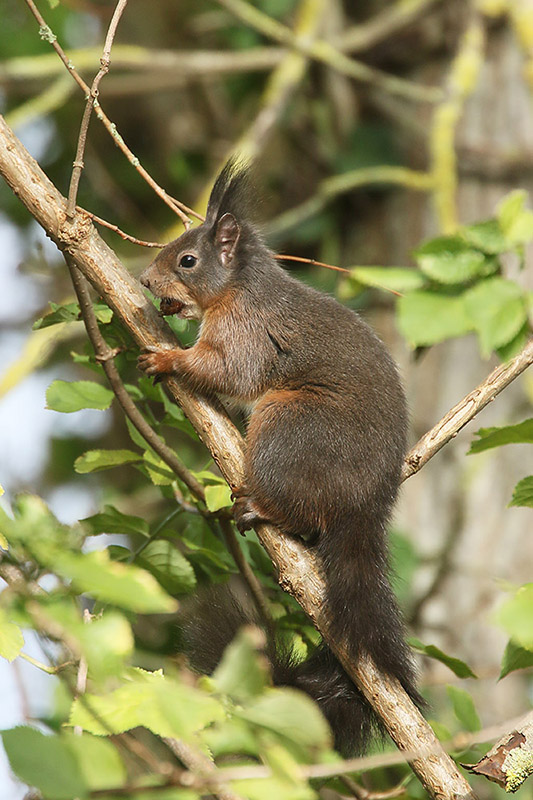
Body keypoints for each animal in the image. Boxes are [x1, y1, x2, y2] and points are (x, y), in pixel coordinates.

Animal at [139, 161, 422, 756]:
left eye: (187, 259)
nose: (147, 282)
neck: (240, 289)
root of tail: (370, 500)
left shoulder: (247, 333)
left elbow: (227, 370)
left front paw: (168, 358)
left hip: (288, 425)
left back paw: (261, 508)